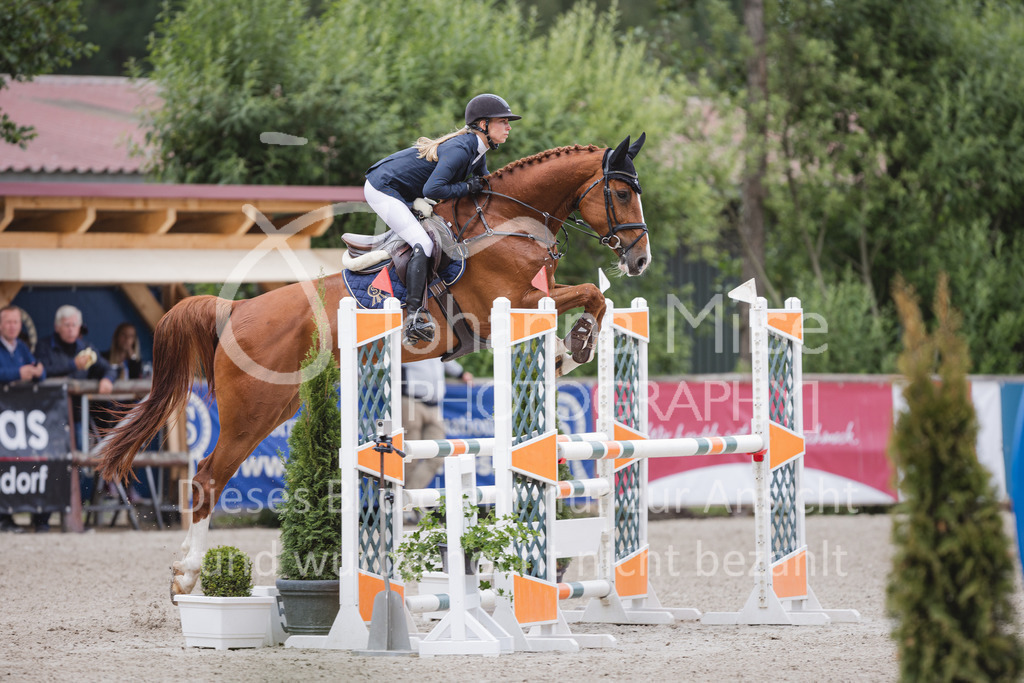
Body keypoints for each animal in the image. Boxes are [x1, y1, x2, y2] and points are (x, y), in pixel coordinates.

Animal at [96, 134, 651, 596]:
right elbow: (587, 293)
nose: (640, 259)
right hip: (250, 411)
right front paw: (578, 344)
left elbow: (588, 300)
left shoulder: (527, 303)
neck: (507, 224)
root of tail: (236, 309)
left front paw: (566, 352)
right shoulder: (506, 305)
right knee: (208, 478)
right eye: (622, 193)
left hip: (278, 406)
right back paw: (186, 577)